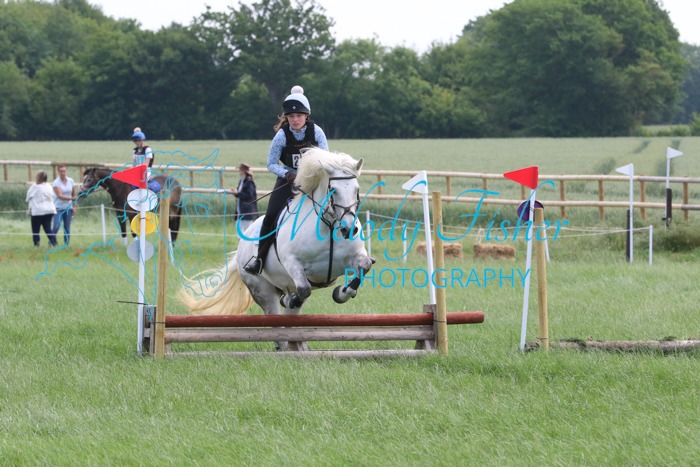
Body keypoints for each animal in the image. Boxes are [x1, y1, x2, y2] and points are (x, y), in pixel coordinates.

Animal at [177, 148, 375, 351]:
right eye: (333, 191)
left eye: (357, 190)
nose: (348, 229)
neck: (328, 227)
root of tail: (241, 248)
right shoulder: (293, 263)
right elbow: (304, 288)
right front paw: (291, 299)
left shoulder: (354, 258)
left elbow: (364, 266)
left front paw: (342, 293)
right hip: (262, 290)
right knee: (278, 321)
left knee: (291, 319)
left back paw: (297, 344)